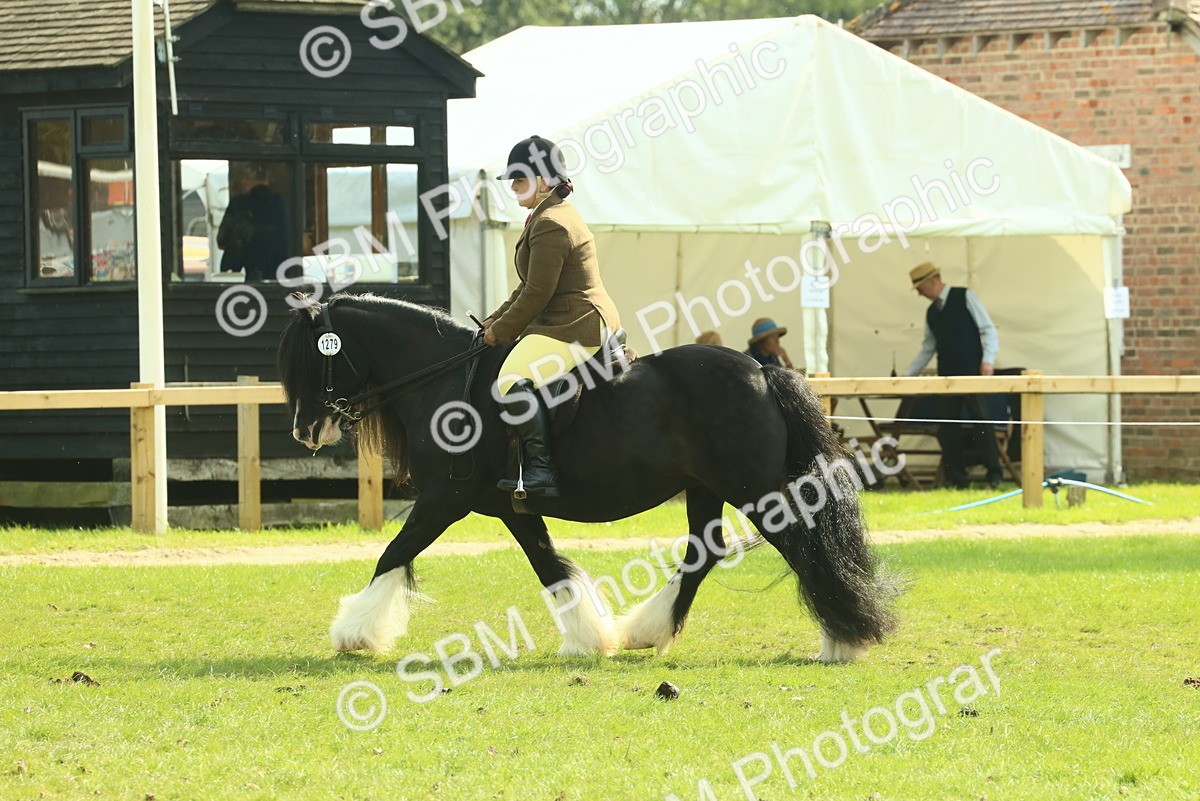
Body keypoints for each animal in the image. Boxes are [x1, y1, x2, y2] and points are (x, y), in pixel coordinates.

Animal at [277, 292, 897, 663]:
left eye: (313, 359)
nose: (305, 431)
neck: (448, 381)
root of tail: (764, 372)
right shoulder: (510, 507)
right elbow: (551, 569)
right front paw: (589, 638)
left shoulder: (444, 499)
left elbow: (393, 553)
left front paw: (355, 632)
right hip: (706, 488)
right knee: (704, 551)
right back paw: (648, 631)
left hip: (755, 490)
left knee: (803, 546)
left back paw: (843, 640)